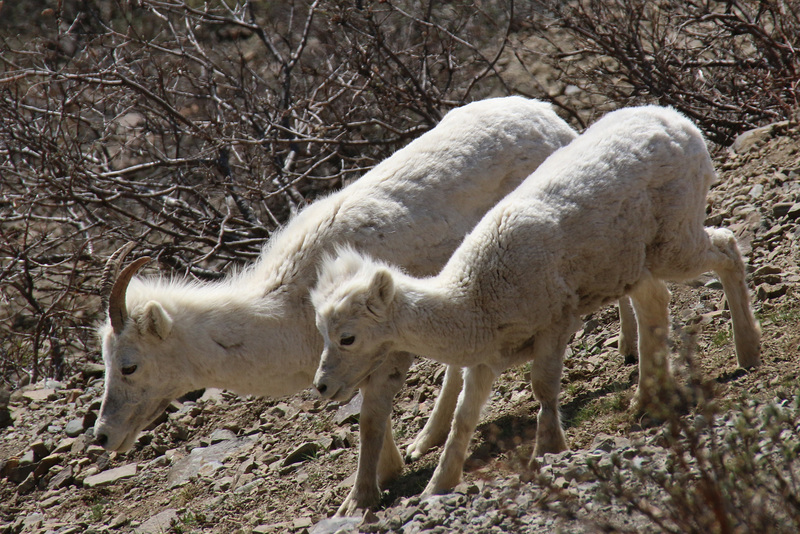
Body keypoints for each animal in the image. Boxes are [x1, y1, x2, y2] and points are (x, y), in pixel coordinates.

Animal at [94, 97, 580, 520]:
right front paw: (392, 470)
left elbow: (370, 421)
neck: (287, 310)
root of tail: (547, 116)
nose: (102, 436)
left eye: (129, 366)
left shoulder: (385, 353)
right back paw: (425, 441)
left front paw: (359, 500)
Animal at [310, 104, 760, 498]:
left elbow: (543, 389)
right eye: (322, 335)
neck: (474, 299)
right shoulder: (484, 362)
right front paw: (437, 486)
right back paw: (645, 402)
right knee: (655, 305)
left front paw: (548, 450)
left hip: (674, 244)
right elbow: (462, 420)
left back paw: (748, 354)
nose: (321, 386)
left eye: (347, 337)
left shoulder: (554, 327)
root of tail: (680, 122)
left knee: (726, 248)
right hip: (637, 265)